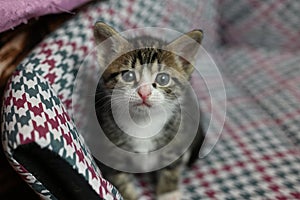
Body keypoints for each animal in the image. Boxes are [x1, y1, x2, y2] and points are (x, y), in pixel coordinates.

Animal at [94, 21, 206, 199]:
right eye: (128, 76)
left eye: (163, 79)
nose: (144, 92)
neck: (143, 123)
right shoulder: (109, 145)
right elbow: (118, 177)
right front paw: (128, 195)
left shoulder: (178, 136)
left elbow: (171, 166)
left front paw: (168, 192)